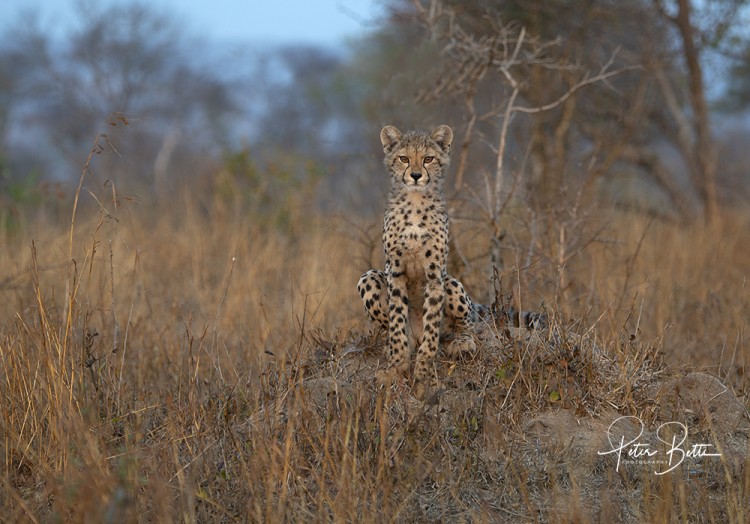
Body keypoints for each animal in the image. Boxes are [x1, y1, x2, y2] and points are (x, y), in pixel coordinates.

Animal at [358, 125, 548, 390]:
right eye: (404, 158)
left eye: (428, 159)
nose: (415, 175)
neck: (415, 202)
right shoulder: (394, 271)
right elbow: (396, 323)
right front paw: (396, 366)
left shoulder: (435, 275)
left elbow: (431, 330)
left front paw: (424, 372)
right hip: (369, 277)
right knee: (390, 323)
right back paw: (394, 346)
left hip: (452, 283)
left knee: (465, 324)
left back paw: (462, 342)